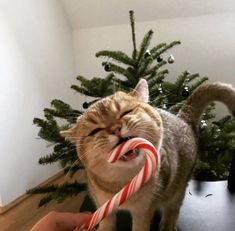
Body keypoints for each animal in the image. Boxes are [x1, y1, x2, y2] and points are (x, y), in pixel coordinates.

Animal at [61, 79, 235, 231]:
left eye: (126, 112)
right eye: (95, 131)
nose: (116, 128)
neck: (122, 184)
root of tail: (183, 117)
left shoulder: (144, 210)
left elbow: (141, 226)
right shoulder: (102, 205)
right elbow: (106, 224)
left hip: (178, 186)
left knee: (174, 205)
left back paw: (168, 223)